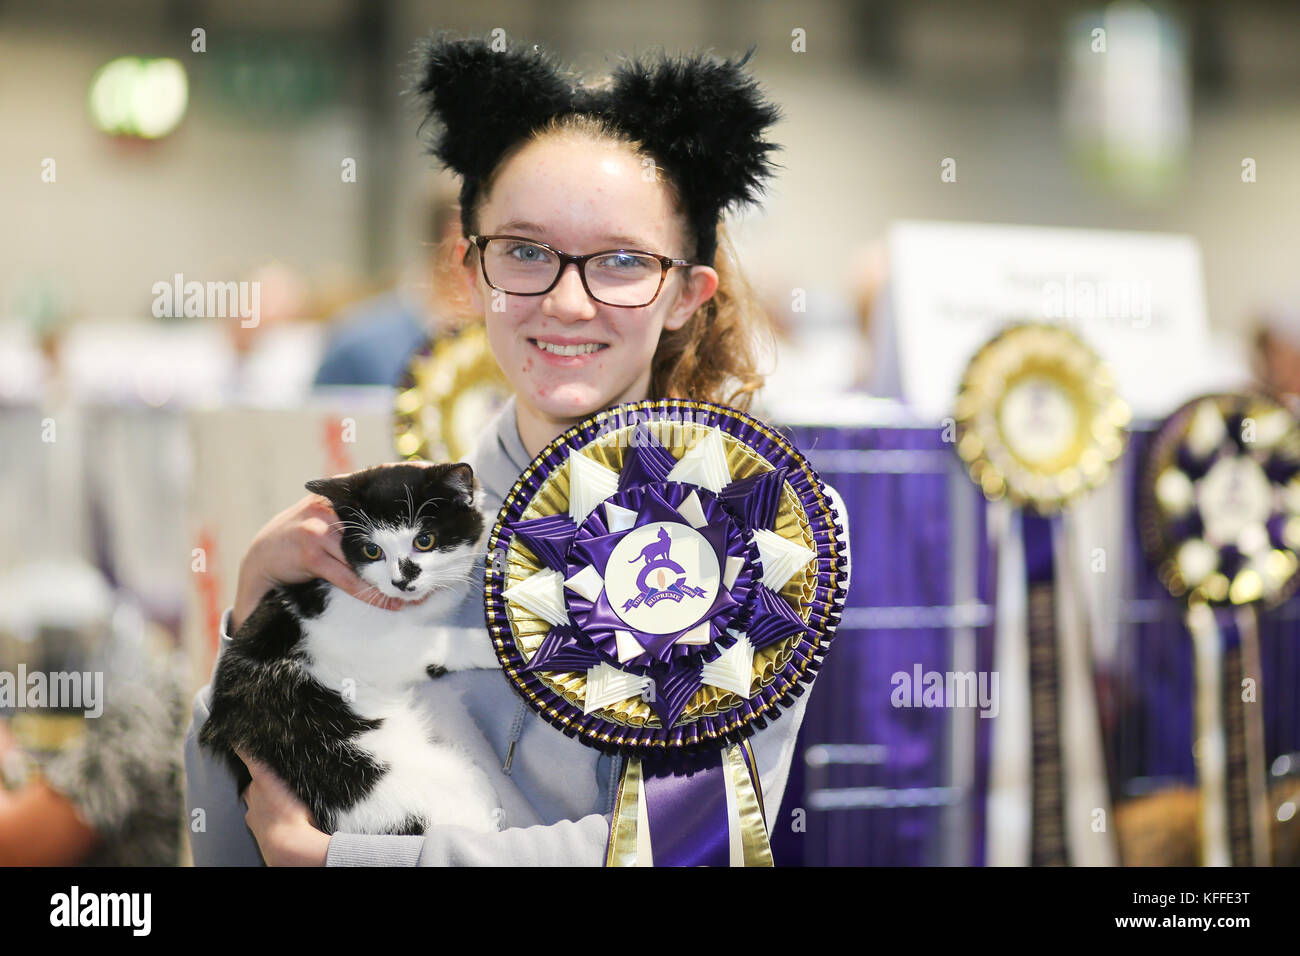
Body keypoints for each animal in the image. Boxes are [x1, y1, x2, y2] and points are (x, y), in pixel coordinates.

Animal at [198, 463, 501, 837]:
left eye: (424, 540)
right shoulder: (363, 644)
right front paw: (496, 644)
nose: (401, 581)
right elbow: (436, 641)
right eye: (373, 551)